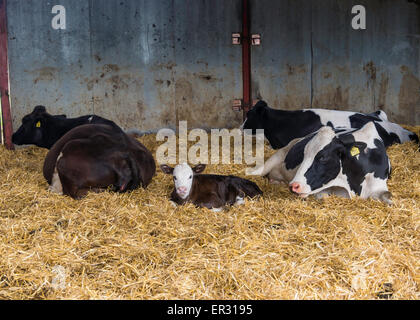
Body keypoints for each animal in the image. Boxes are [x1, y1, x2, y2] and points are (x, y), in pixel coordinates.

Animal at [248, 121, 392, 204]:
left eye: (323, 157)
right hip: (277, 156)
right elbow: (323, 196)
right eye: (304, 154)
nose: (294, 186)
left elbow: (387, 197)